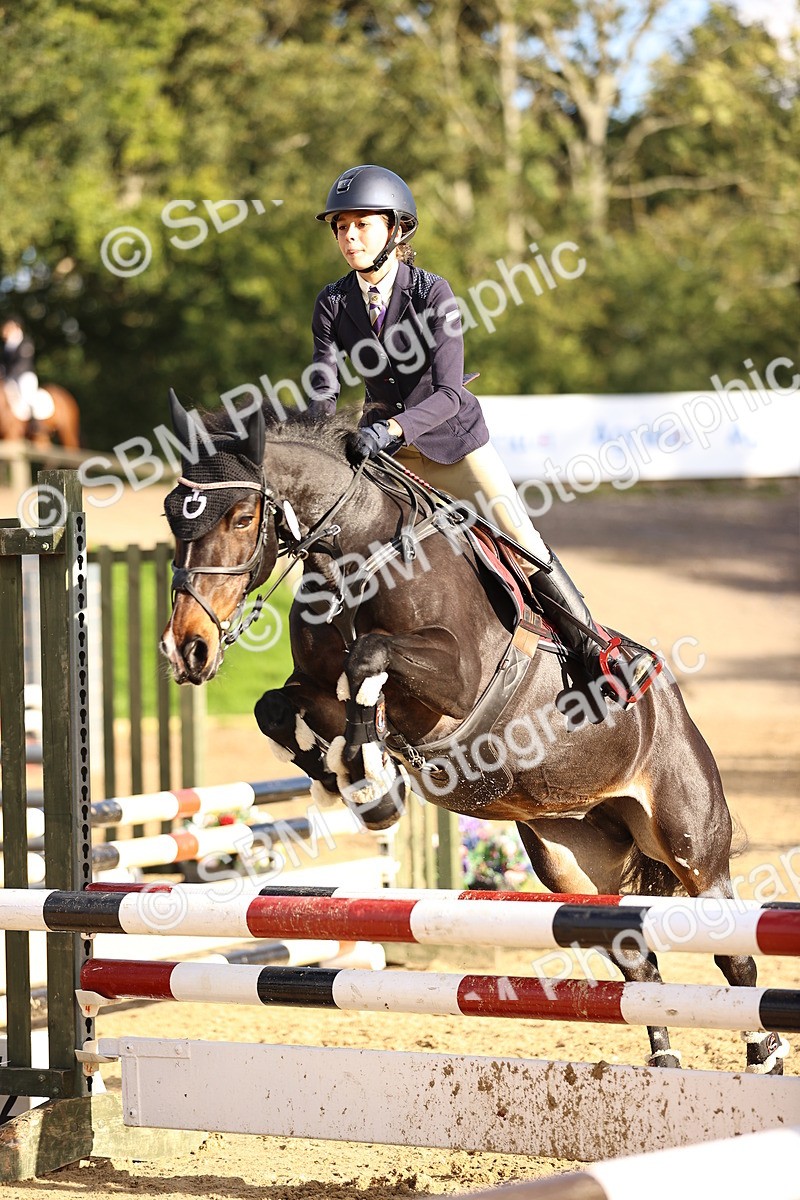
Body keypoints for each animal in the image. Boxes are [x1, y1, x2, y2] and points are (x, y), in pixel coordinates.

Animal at [160, 390, 786, 1076]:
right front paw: (354, 782)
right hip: (571, 860)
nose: (185, 648)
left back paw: (765, 1058)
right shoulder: (312, 686)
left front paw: (370, 777)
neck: (357, 555)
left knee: (734, 952)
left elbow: (369, 659)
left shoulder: (453, 683)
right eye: (172, 516)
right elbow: (276, 707)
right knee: (635, 957)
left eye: (243, 516)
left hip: (691, 843)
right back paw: (666, 1063)